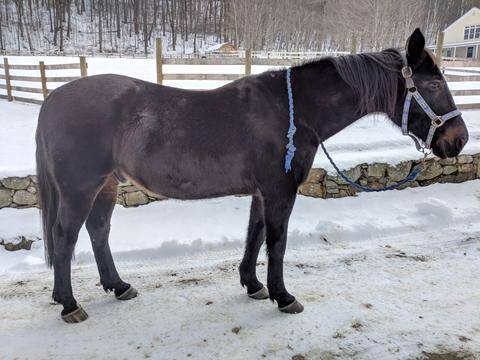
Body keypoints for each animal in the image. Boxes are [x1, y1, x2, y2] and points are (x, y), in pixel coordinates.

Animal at [34, 28, 468, 324]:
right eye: (434, 82)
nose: (459, 139)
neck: (293, 111)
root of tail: (54, 98)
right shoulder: (280, 190)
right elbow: (277, 242)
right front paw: (283, 295)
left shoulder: (263, 191)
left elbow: (254, 235)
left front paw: (254, 285)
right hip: (80, 187)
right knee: (65, 237)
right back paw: (69, 304)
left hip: (106, 184)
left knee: (98, 231)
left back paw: (119, 286)